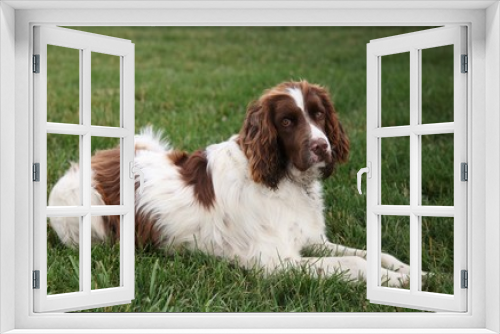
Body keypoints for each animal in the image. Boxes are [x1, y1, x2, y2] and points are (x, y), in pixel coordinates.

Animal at [49, 80, 410, 288]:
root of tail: (82, 166)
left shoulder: (309, 241)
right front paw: (392, 280)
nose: (322, 147)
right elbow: (355, 262)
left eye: (319, 114)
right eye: (287, 121)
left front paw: (406, 270)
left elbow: (371, 252)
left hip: (147, 142)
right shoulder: (275, 262)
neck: (281, 180)